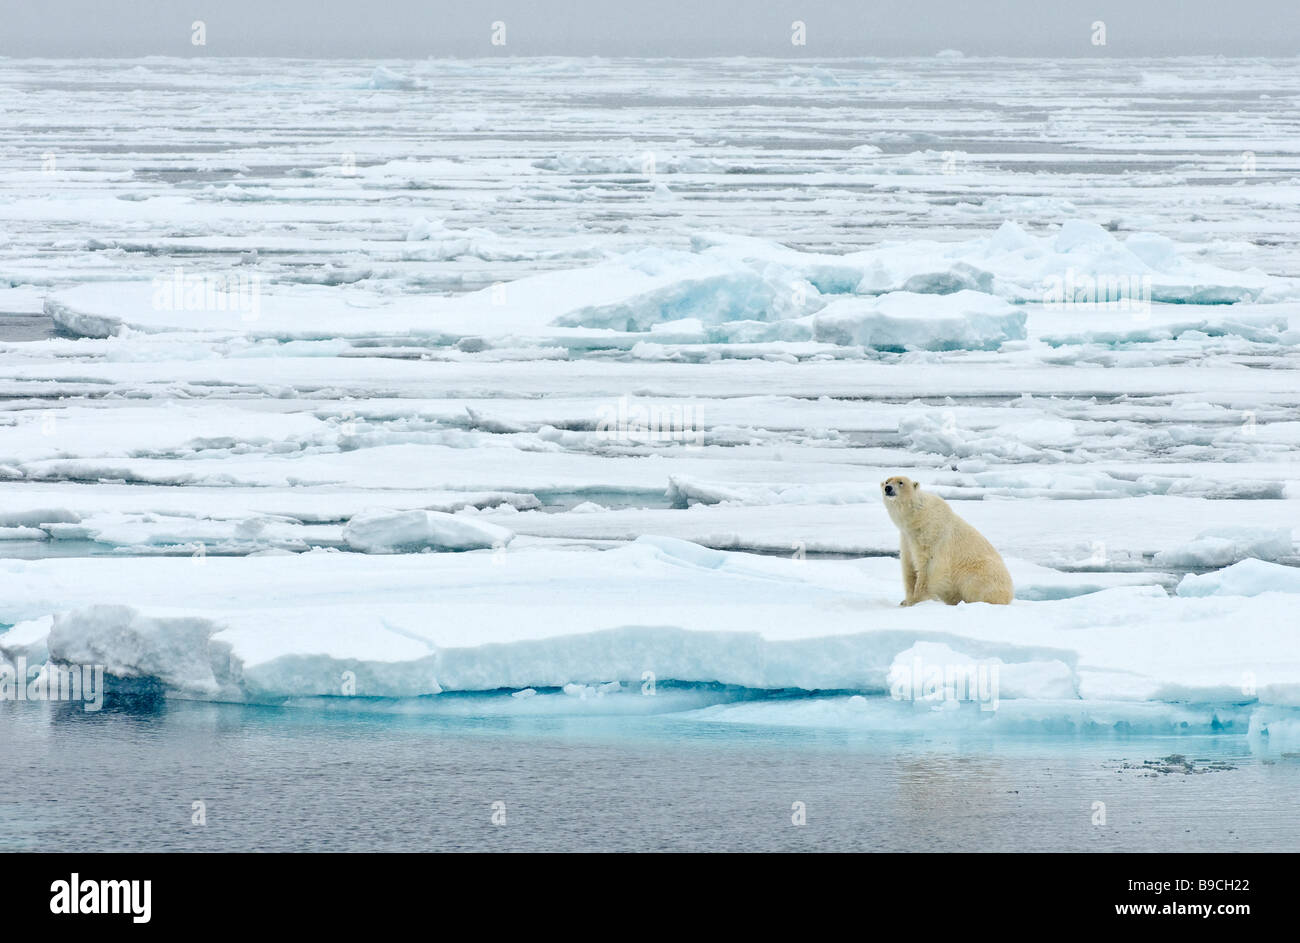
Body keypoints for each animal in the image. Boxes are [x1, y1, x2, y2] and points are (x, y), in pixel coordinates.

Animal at [883, 473, 1013, 606]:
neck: (919, 517)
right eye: (887, 481)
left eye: (901, 482)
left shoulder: (932, 535)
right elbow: (909, 565)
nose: (888, 488)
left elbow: (928, 566)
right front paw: (906, 601)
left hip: (981, 572)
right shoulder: (907, 537)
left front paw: (917, 599)